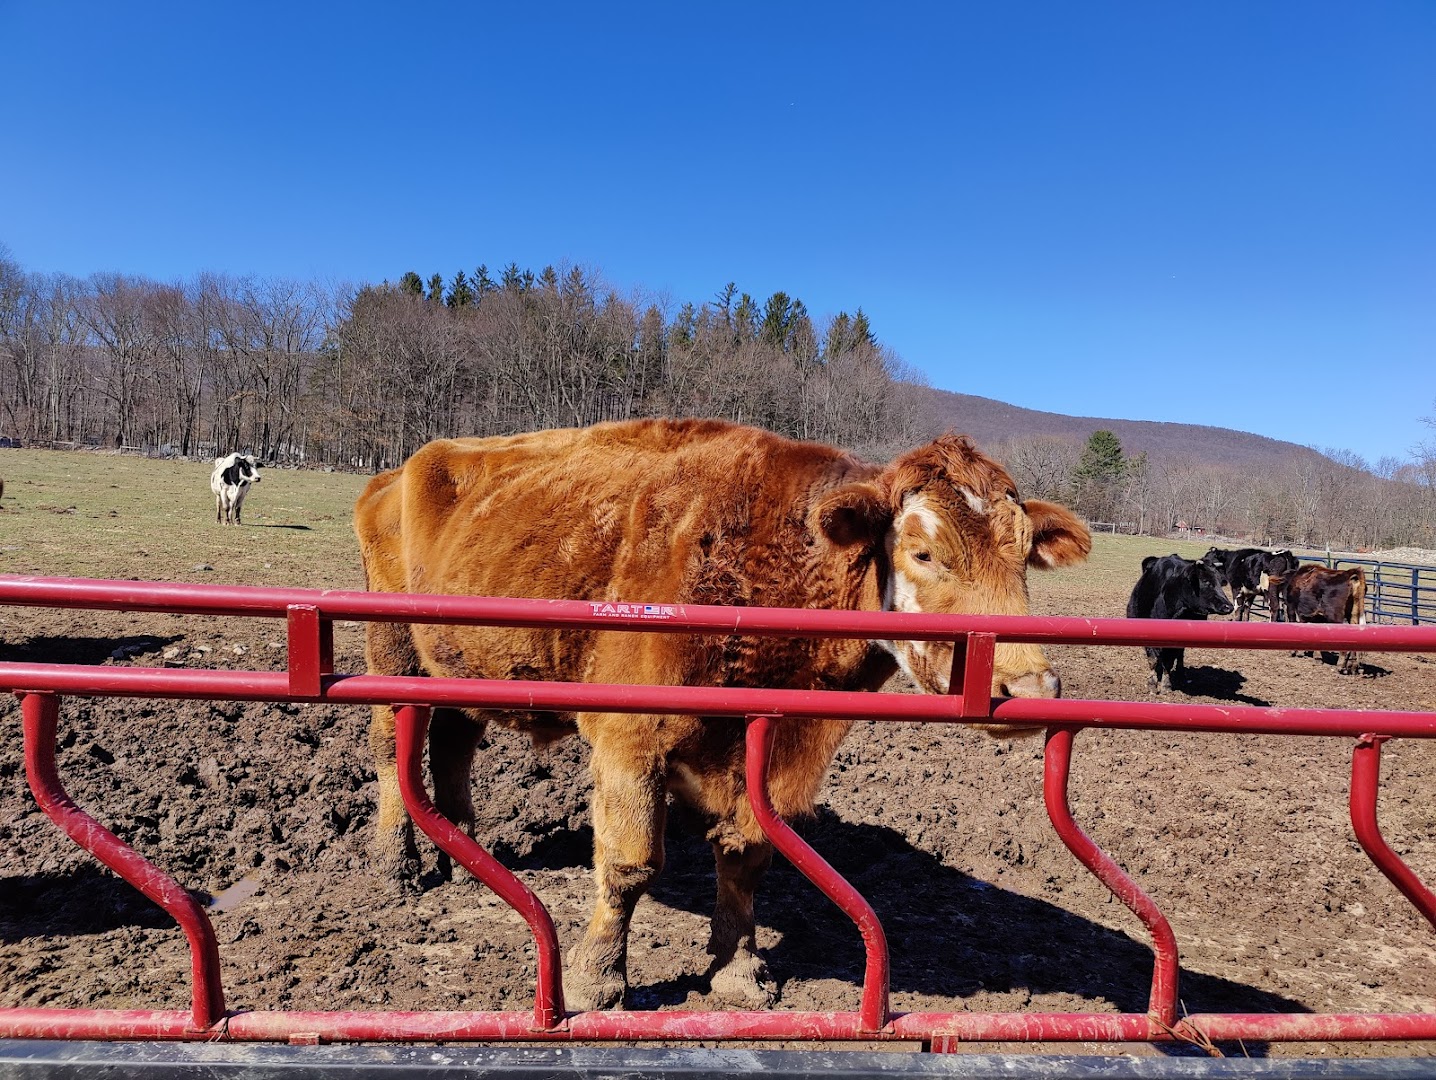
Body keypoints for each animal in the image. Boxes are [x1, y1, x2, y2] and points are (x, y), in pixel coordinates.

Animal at [356, 416, 1085, 1011]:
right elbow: (629, 864)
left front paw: (736, 970)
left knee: (454, 742)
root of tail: (401, 470)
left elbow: (746, 856)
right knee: (390, 744)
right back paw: (397, 865)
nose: (1028, 685)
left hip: (463, 664)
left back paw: (464, 856)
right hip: (393, 649)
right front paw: (596, 980)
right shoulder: (629, 739)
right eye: (923, 552)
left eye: (1023, 556)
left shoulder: (772, 748)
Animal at [1120, 551, 1234, 695]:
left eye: (1220, 582)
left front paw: (1166, 685)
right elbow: (1152, 660)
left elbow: (1169, 662)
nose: (1228, 606)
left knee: (1180, 655)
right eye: (1205, 581)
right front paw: (1152, 683)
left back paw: (1181, 675)